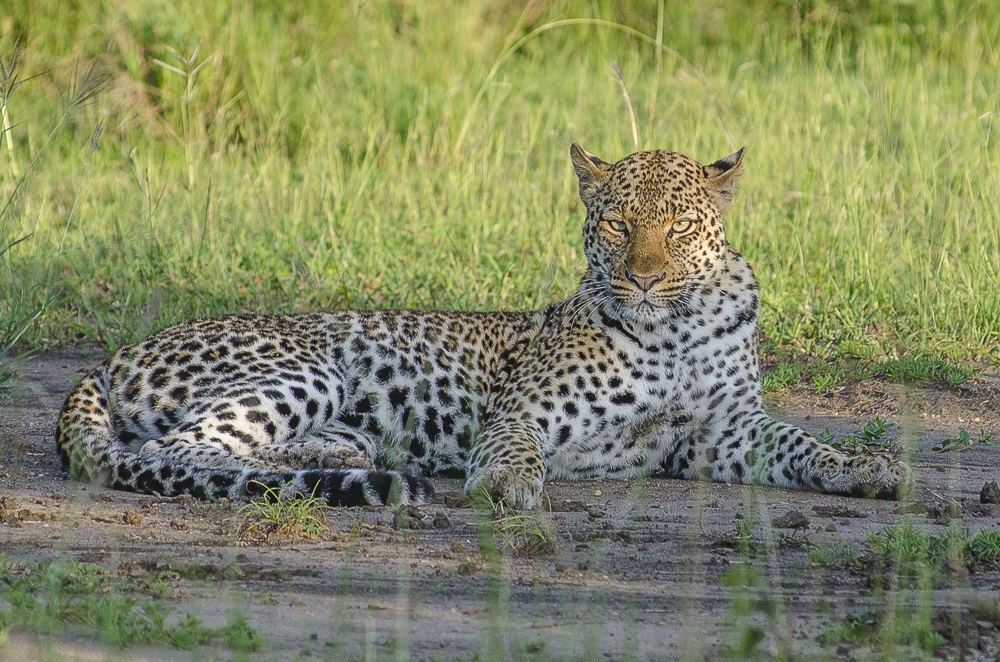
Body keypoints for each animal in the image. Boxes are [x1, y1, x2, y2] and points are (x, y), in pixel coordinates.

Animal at [54, 144, 908, 508]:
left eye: (679, 226)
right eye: (619, 223)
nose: (642, 275)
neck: (678, 326)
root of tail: (108, 359)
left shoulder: (720, 434)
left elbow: (801, 442)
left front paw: (869, 467)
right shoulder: (524, 410)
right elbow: (510, 447)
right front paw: (505, 485)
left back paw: (347, 460)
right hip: (306, 365)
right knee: (177, 452)